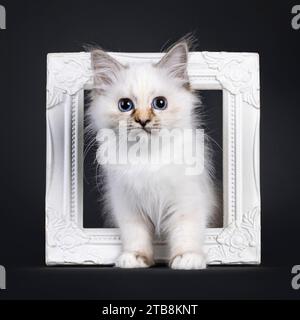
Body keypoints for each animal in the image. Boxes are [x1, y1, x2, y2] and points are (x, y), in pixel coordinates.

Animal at [88, 40, 217, 270]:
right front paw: (135, 258)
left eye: (160, 103)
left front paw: (187, 258)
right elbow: (135, 235)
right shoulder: (128, 206)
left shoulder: (186, 202)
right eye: (125, 105)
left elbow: (186, 233)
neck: (146, 158)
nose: (143, 121)